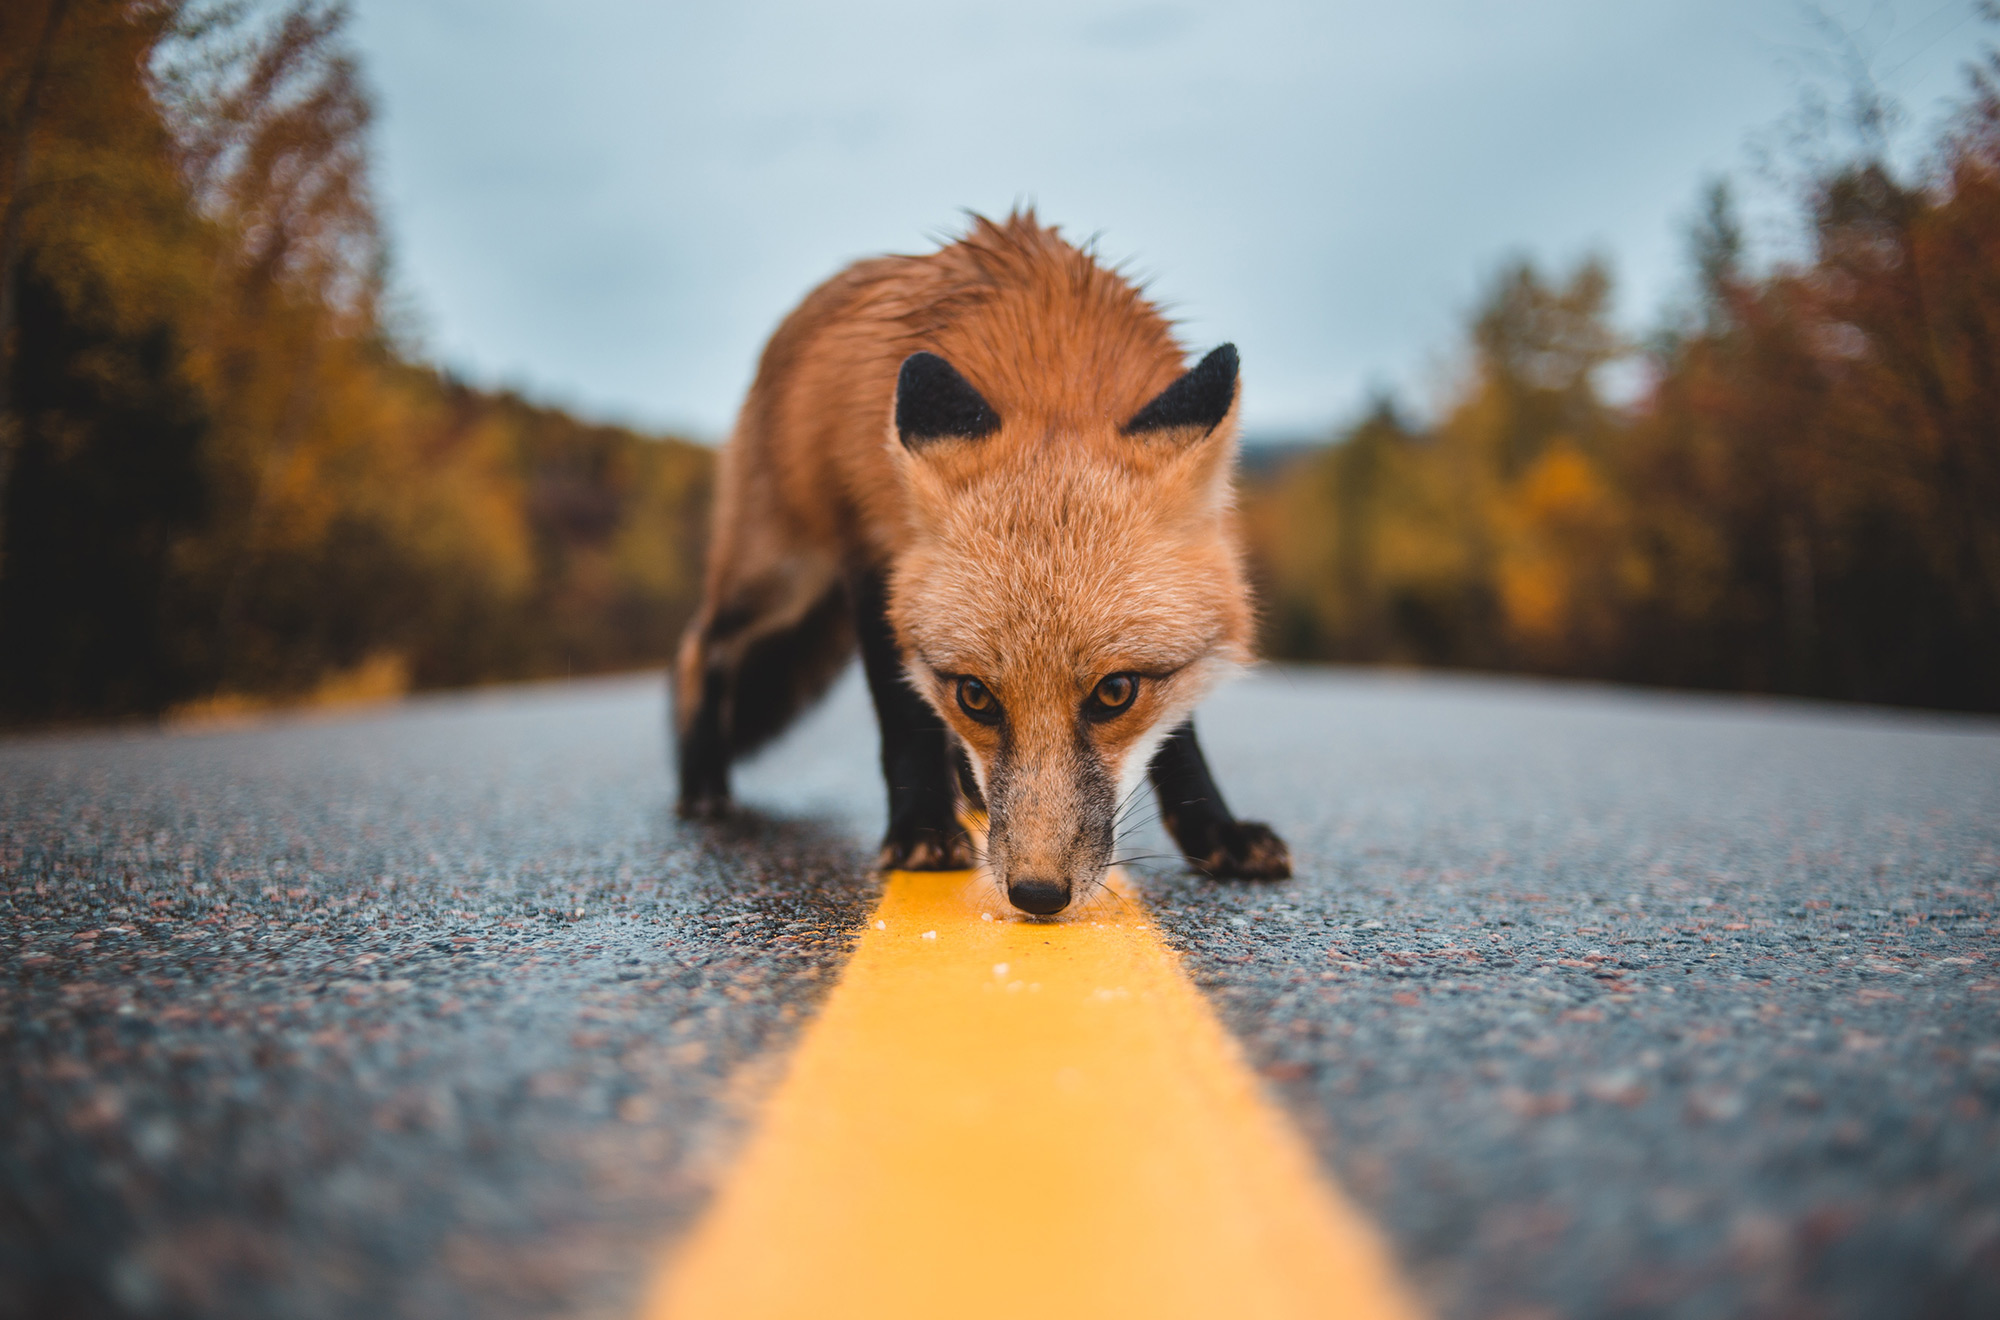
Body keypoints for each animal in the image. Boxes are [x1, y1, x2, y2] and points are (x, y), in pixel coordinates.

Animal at [672, 211, 1290, 915]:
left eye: (1116, 693)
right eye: (975, 696)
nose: (1038, 894)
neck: (1052, 367)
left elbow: (1179, 738)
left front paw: (1215, 830)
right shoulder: (874, 559)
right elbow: (904, 716)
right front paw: (920, 830)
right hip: (781, 575)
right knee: (700, 645)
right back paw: (701, 781)